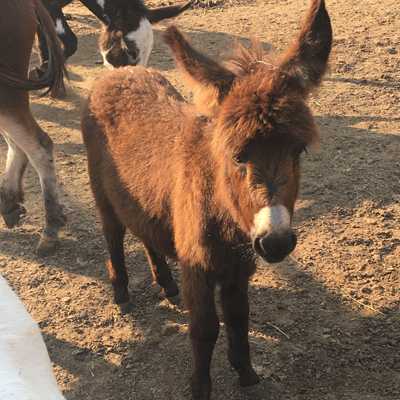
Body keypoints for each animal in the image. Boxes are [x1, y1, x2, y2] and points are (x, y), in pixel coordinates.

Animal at [81, 1, 332, 398]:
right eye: (236, 155)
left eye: (299, 151)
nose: (276, 242)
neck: (225, 217)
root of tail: (122, 72)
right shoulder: (197, 267)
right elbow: (205, 328)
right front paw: (200, 386)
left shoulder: (240, 267)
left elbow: (238, 317)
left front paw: (246, 373)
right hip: (101, 193)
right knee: (113, 235)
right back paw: (121, 293)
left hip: (143, 199)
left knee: (146, 231)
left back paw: (165, 284)